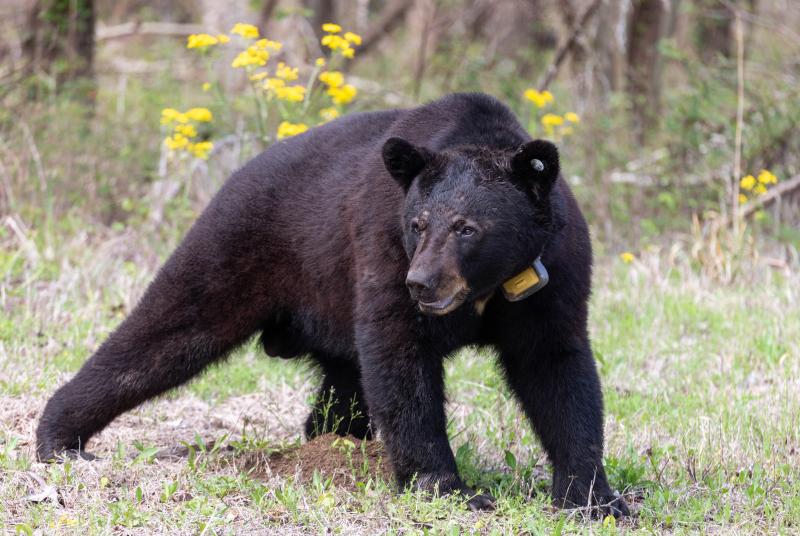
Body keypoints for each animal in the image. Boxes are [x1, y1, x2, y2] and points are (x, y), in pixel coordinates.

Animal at [36, 92, 629, 517]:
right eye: (419, 224)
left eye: (467, 227)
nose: (422, 283)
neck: (486, 290)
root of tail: (238, 173)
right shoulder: (381, 245)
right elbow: (400, 359)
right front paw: (450, 489)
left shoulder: (553, 274)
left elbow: (557, 369)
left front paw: (594, 498)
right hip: (238, 249)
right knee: (165, 332)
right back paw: (59, 439)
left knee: (341, 389)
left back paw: (334, 443)